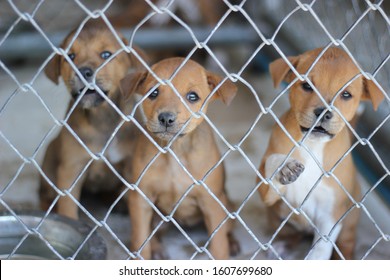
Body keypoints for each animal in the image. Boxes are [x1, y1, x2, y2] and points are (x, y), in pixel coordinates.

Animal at [39, 18, 146, 220]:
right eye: (70, 56)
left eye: (106, 54)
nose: (83, 72)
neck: (101, 118)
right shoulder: (71, 169)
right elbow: (67, 206)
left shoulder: (130, 166)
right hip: (50, 157)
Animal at [121, 57, 238, 260]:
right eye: (153, 93)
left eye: (192, 96)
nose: (166, 118)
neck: (174, 149)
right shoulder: (141, 199)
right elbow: (140, 239)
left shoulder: (212, 202)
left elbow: (219, 244)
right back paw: (157, 248)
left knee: (228, 229)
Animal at [258, 47, 382, 260]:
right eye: (307, 86)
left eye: (346, 94)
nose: (324, 112)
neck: (313, 145)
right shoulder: (265, 190)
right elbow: (272, 163)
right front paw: (285, 167)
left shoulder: (331, 211)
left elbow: (322, 246)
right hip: (275, 217)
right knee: (291, 234)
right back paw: (281, 246)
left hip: (349, 224)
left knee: (347, 245)